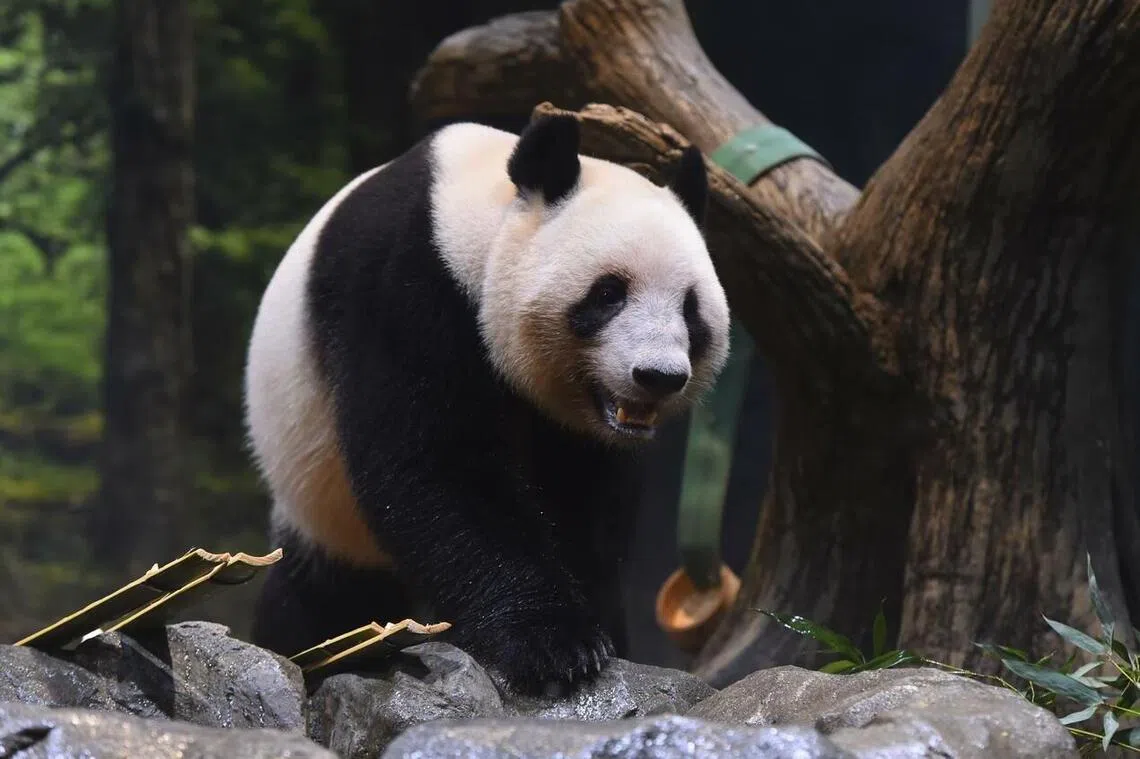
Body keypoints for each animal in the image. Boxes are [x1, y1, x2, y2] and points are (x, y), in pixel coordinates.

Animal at [242, 113, 731, 696]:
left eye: (691, 308)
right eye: (609, 293)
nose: (658, 376)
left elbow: (585, 505)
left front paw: (602, 631)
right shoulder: (407, 288)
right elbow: (434, 466)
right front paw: (554, 645)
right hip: (317, 495)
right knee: (321, 597)